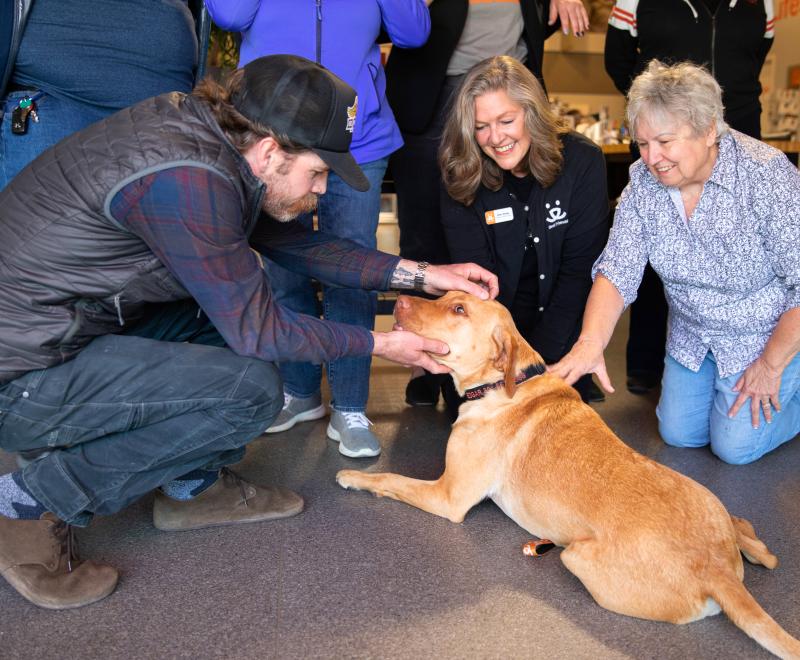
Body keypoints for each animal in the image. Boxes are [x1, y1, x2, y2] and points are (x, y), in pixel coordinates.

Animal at [338, 294, 800, 660]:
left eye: (458, 309)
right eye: (445, 295)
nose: (397, 301)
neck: (503, 385)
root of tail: (716, 569)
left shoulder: (448, 496)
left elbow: (390, 479)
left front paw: (352, 477)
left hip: (576, 556)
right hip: (709, 502)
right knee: (749, 533)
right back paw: (754, 545)